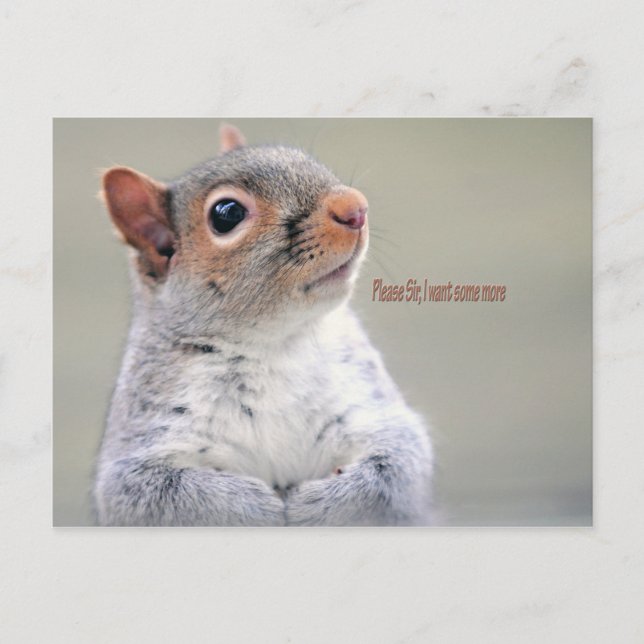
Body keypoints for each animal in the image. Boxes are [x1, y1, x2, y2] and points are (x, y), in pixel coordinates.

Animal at [93, 123, 433, 526]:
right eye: (226, 214)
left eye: (303, 157)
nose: (355, 207)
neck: (274, 344)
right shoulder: (144, 440)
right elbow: (154, 494)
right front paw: (252, 506)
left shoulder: (370, 406)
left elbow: (398, 465)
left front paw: (317, 504)